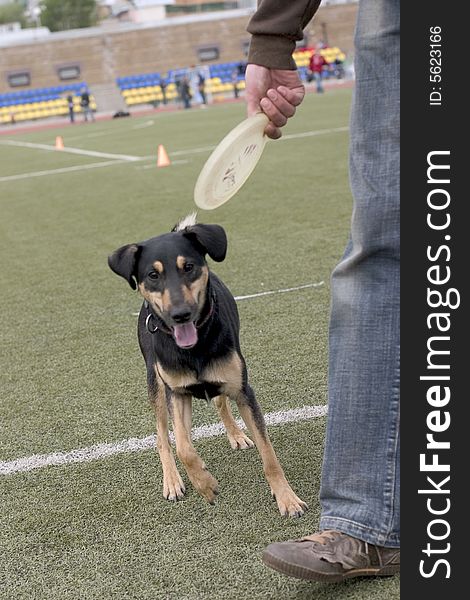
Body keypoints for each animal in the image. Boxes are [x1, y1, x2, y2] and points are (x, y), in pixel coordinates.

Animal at [108, 214, 306, 516]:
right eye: (153, 275)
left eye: (188, 267)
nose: (180, 315)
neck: (194, 348)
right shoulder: (177, 393)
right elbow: (183, 447)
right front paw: (204, 484)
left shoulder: (243, 390)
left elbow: (268, 454)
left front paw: (287, 498)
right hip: (155, 383)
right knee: (164, 437)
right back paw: (173, 479)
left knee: (219, 402)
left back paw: (235, 435)